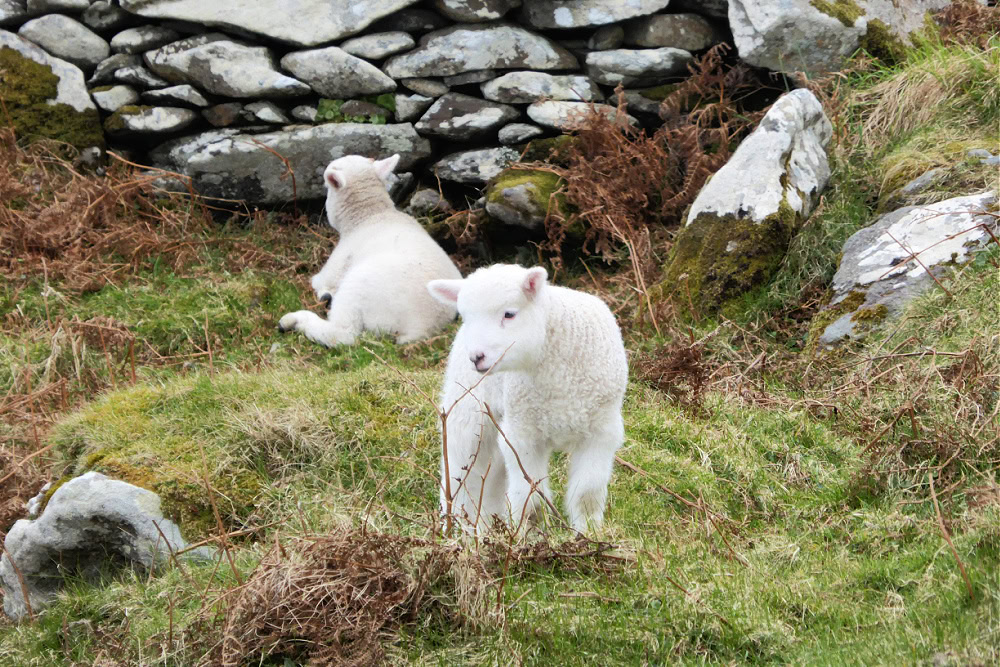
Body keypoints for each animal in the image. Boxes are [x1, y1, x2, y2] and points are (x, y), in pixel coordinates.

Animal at [276, 154, 458, 348]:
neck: (371, 215)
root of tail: (421, 326)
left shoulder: (337, 264)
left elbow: (318, 281)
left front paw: (323, 293)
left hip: (358, 288)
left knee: (343, 334)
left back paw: (294, 320)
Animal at [426, 264, 628, 536]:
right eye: (466, 318)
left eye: (509, 314)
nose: (476, 357)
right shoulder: (522, 434)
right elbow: (530, 498)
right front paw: (531, 535)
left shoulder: (601, 433)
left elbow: (587, 494)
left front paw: (588, 534)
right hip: (469, 409)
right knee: (461, 469)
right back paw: (458, 526)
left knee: (492, 476)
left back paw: (486, 527)